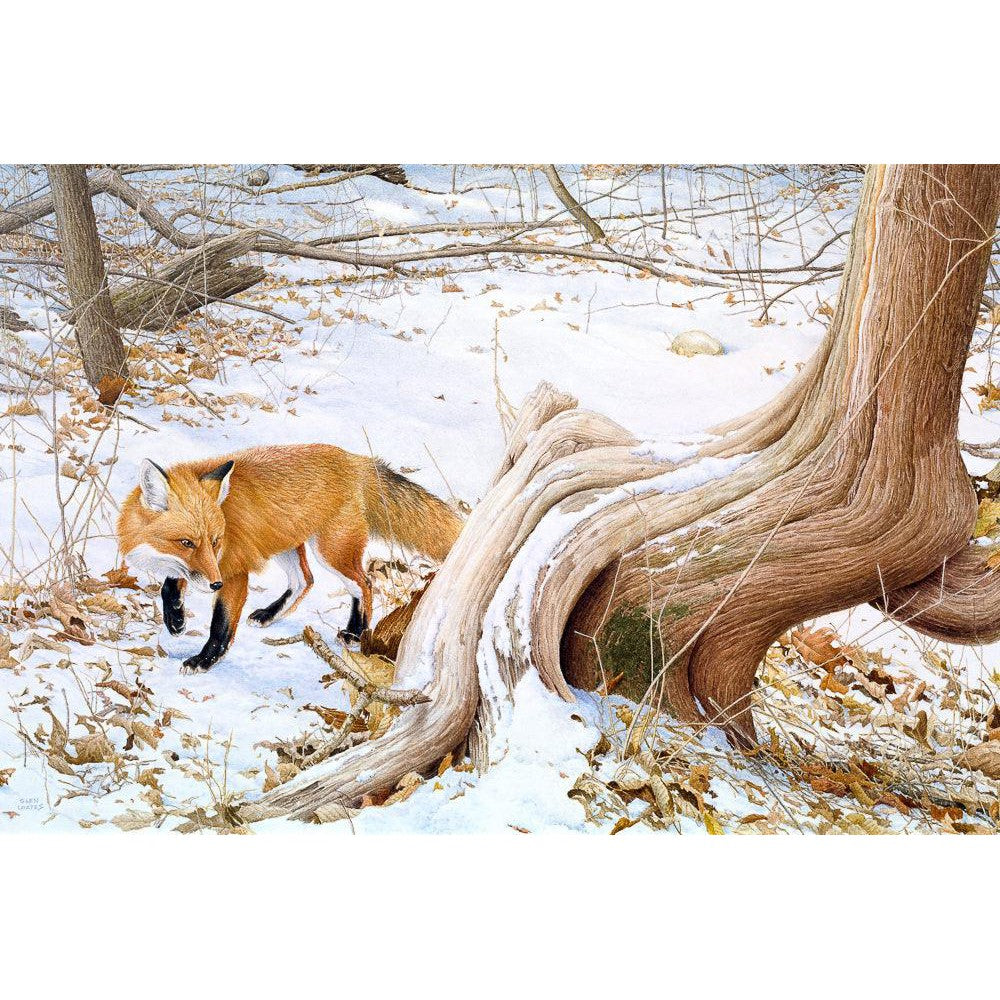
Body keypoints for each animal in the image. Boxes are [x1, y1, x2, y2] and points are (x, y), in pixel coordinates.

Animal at [116, 444, 462, 674]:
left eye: (215, 541)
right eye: (187, 543)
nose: (214, 585)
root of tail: (355, 461)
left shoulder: (233, 571)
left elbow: (221, 626)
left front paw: (204, 660)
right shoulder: (204, 567)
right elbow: (172, 583)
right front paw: (175, 618)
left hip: (331, 552)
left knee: (364, 583)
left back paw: (354, 632)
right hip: (284, 544)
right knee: (305, 580)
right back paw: (270, 614)